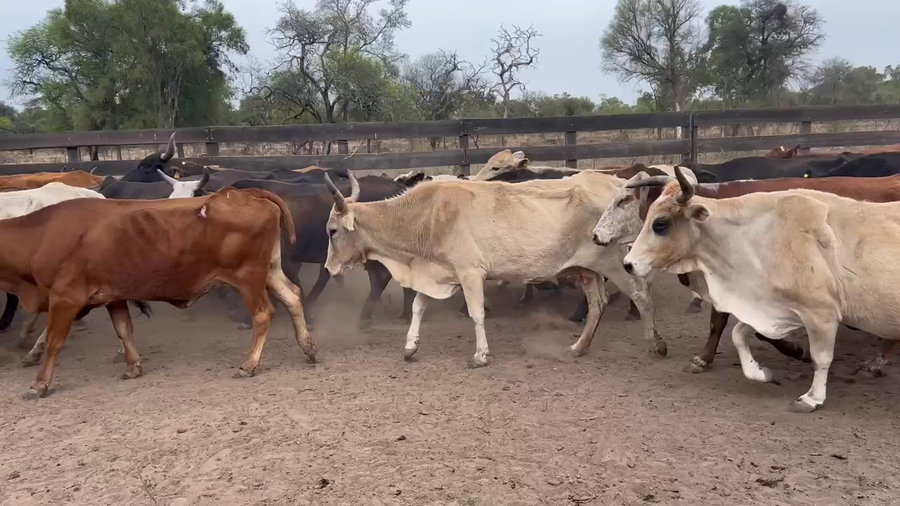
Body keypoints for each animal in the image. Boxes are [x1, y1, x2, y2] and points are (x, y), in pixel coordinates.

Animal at [1, 187, 314, 399]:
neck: (40, 236)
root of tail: (242, 193)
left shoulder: (65, 299)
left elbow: (54, 342)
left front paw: (40, 383)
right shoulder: (114, 297)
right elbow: (124, 330)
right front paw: (132, 367)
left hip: (248, 277)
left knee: (263, 314)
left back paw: (249, 365)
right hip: (270, 270)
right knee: (293, 296)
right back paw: (308, 346)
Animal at [323, 170, 665, 367]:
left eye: (332, 231)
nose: (329, 267)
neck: (428, 215)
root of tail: (615, 183)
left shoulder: (470, 273)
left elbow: (476, 313)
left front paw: (480, 355)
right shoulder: (437, 271)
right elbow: (419, 307)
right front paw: (410, 347)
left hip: (614, 263)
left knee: (641, 295)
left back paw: (655, 344)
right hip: (587, 270)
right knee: (597, 304)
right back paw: (579, 347)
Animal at [622, 167, 900, 412]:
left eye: (660, 223)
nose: (628, 264)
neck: (762, 235)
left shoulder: (821, 312)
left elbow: (821, 358)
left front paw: (812, 397)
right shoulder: (776, 307)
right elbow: (739, 333)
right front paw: (761, 372)